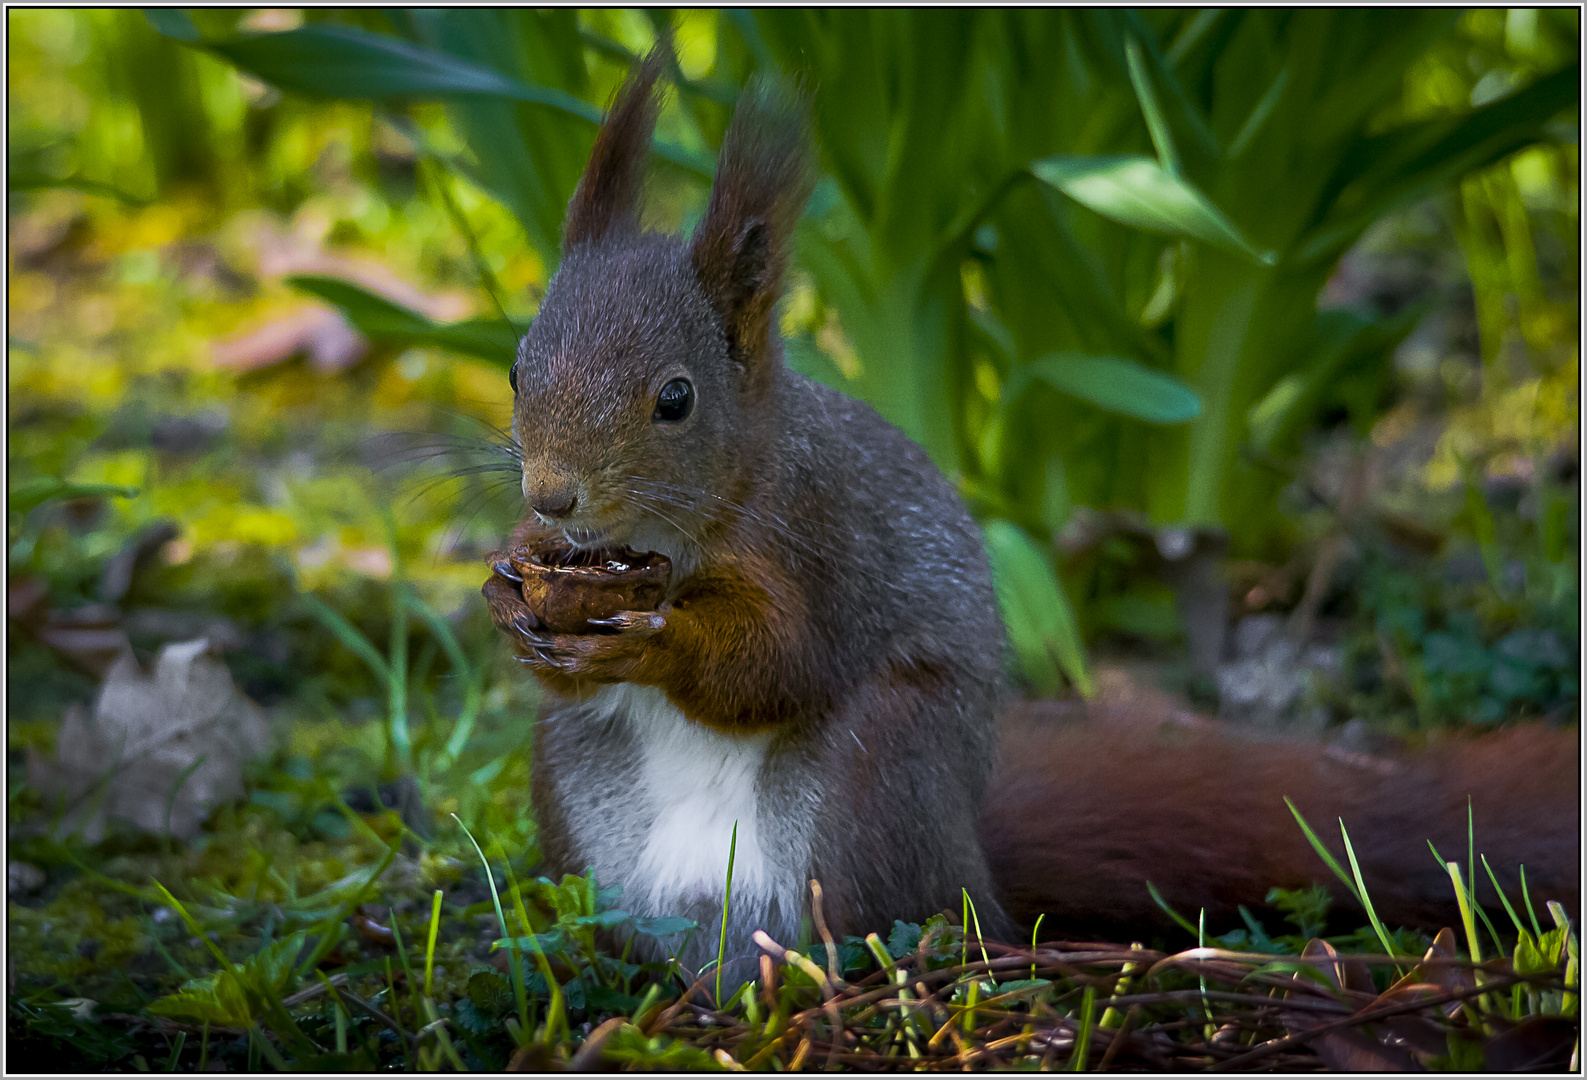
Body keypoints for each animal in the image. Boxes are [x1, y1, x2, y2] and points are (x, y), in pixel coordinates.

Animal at [479, 54, 1574, 970]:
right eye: (518, 367)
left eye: (675, 399)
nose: (550, 495)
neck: (668, 530)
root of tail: (975, 866)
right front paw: (508, 596)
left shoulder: (818, 540)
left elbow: (775, 663)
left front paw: (654, 637)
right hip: (576, 789)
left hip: (876, 775)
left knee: (883, 920)